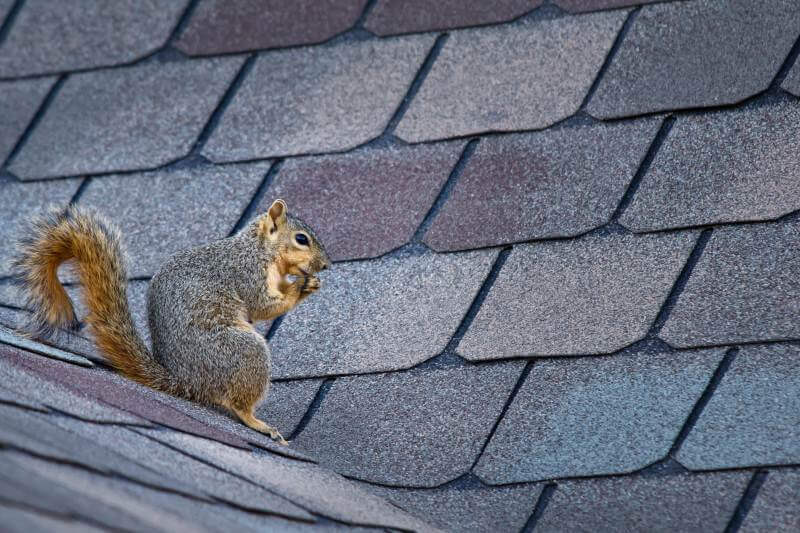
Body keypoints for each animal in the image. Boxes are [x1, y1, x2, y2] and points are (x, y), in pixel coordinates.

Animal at [13, 199, 330, 445]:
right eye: (301, 239)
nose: (326, 265)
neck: (259, 249)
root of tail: (185, 381)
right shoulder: (246, 273)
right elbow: (262, 305)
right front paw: (300, 287)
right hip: (242, 351)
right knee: (239, 404)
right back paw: (258, 423)